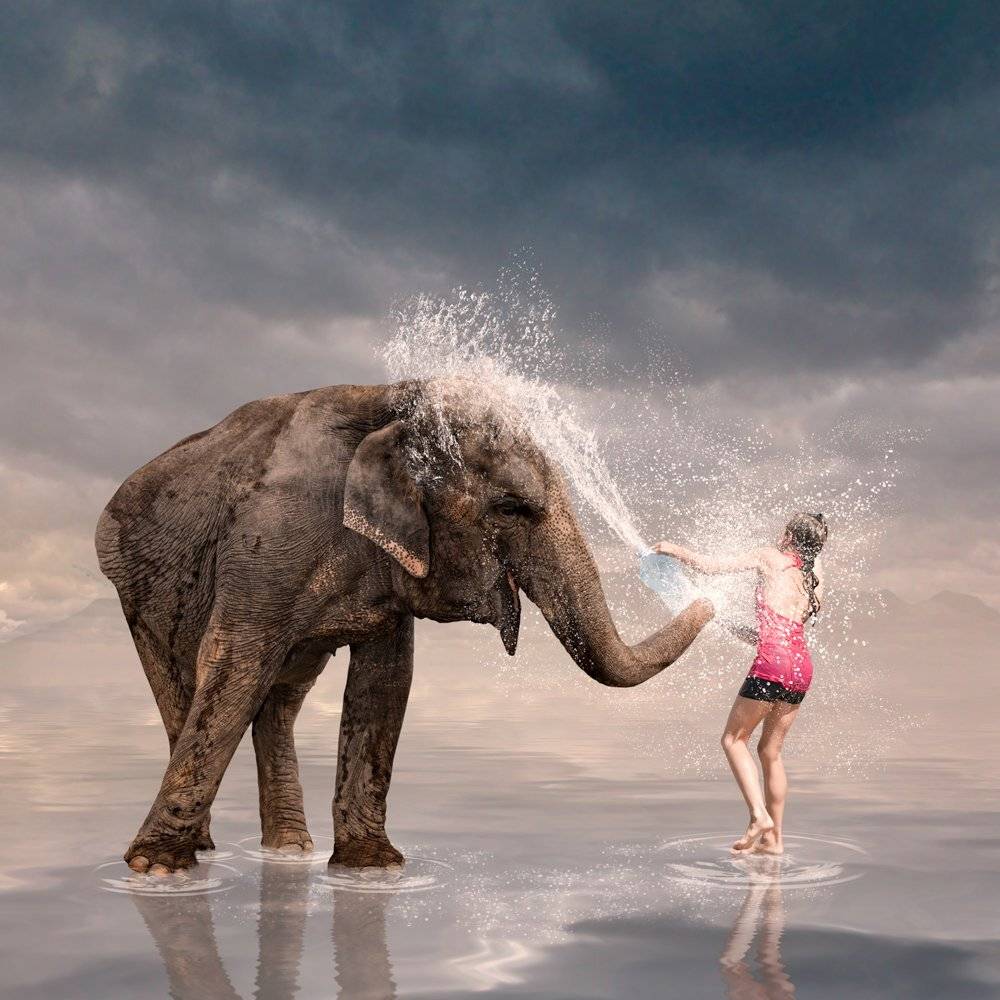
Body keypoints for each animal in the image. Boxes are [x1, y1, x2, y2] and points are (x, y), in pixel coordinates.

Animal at [96, 379, 714, 873]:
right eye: (510, 507)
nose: (707, 595)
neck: (391, 399)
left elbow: (386, 683)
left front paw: (372, 869)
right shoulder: (265, 545)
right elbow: (231, 667)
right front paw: (155, 871)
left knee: (280, 699)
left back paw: (291, 850)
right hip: (136, 589)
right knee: (187, 688)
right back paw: (205, 851)